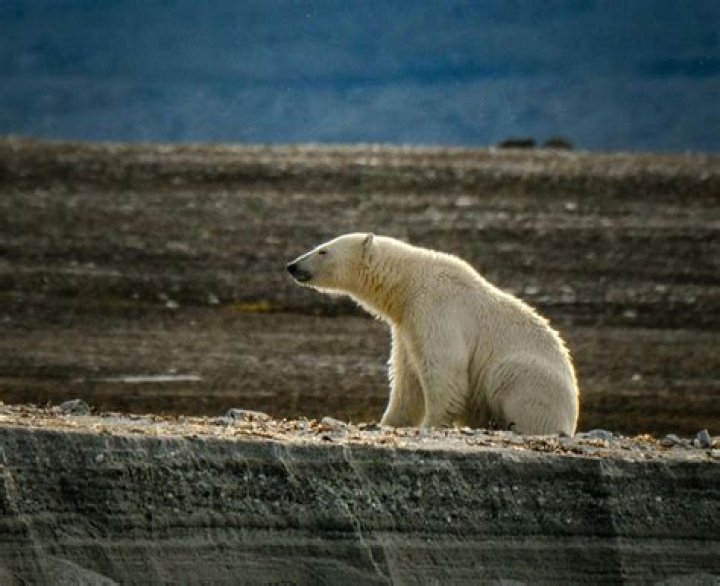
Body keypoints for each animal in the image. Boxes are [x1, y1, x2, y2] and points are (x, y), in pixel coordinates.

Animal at [287, 233, 579, 435]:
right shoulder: (406, 325)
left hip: (530, 377)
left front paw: (431, 424)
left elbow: (443, 371)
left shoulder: (437, 309)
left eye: (323, 250)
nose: (292, 265)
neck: (409, 282)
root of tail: (571, 414)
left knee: (510, 378)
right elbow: (406, 380)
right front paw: (388, 422)